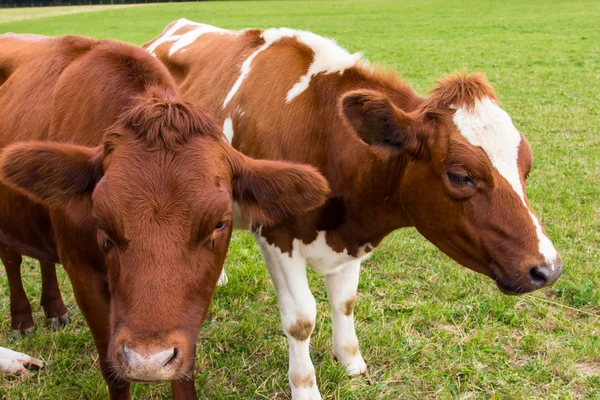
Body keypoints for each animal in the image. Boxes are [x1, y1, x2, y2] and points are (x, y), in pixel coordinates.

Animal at [0, 34, 328, 396]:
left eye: (219, 223)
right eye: (102, 222)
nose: (148, 361)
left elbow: (184, 368)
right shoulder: (82, 273)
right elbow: (113, 370)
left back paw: (55, 310)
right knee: (12, 259)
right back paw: (23, 319)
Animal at [144, 19, 564, 400]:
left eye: (527, 166)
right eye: (460, 176)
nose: (548, 269)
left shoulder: (354, 234)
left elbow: (345, 301)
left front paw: (350, 361)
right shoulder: (278, 235)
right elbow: (301, 320)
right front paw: (305, 388)